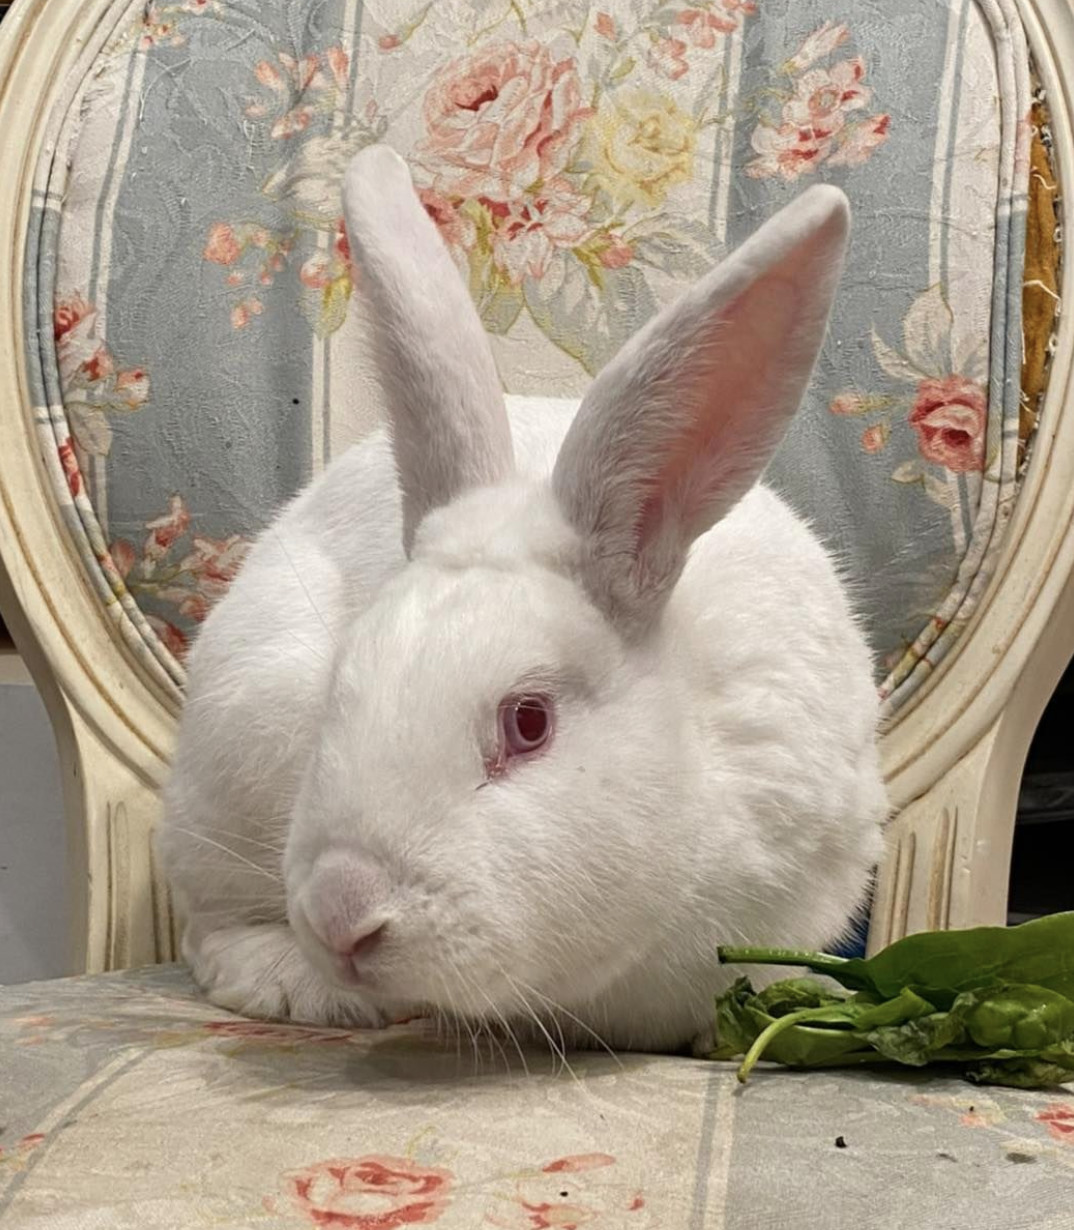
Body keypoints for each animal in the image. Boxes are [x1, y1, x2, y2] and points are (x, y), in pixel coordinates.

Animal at [157, 144, 887, 1055]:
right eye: (339, 689)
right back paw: (297, 986)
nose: (342, 913)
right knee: (208, 924)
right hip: (237, 744)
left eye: (529, 722)